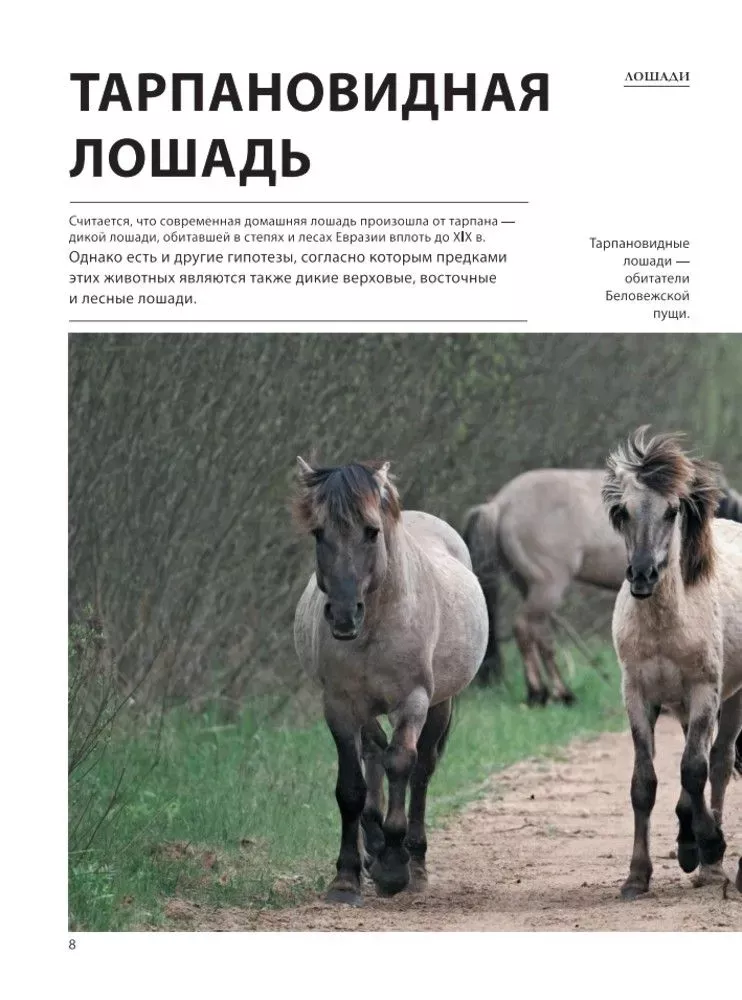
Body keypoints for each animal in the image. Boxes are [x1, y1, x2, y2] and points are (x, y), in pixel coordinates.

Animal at [293, 458, 488, 905]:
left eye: (371, 531)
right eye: (318, 533)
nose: (344, 615)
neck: (376, 625)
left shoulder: (412, 701)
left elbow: (402, 764)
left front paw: (395, 870)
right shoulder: (340, 705)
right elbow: (352, 787)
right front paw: (347, 877)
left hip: (439, 704)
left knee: (420, 770)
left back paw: (413, 861)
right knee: (373, 752)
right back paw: (374, 846)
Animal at [463, 468, 742, 706]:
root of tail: (499, 504)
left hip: (528, 586)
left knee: (539, 633)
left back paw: (557, 693)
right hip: (547, 587)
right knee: (525, 628)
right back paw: (542, 693)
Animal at [603, 428, 742, 899]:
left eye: (671, 510)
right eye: (623, 511)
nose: (643, 575)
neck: (665, 627)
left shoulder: (704, 691)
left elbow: (694, 770)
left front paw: (711, 845)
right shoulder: (638, 695)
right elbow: (644, 783)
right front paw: (636, 876)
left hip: (729, 700)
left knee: (717, 762)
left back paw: (710, 864)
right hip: (681, 706)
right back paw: (688, 845)